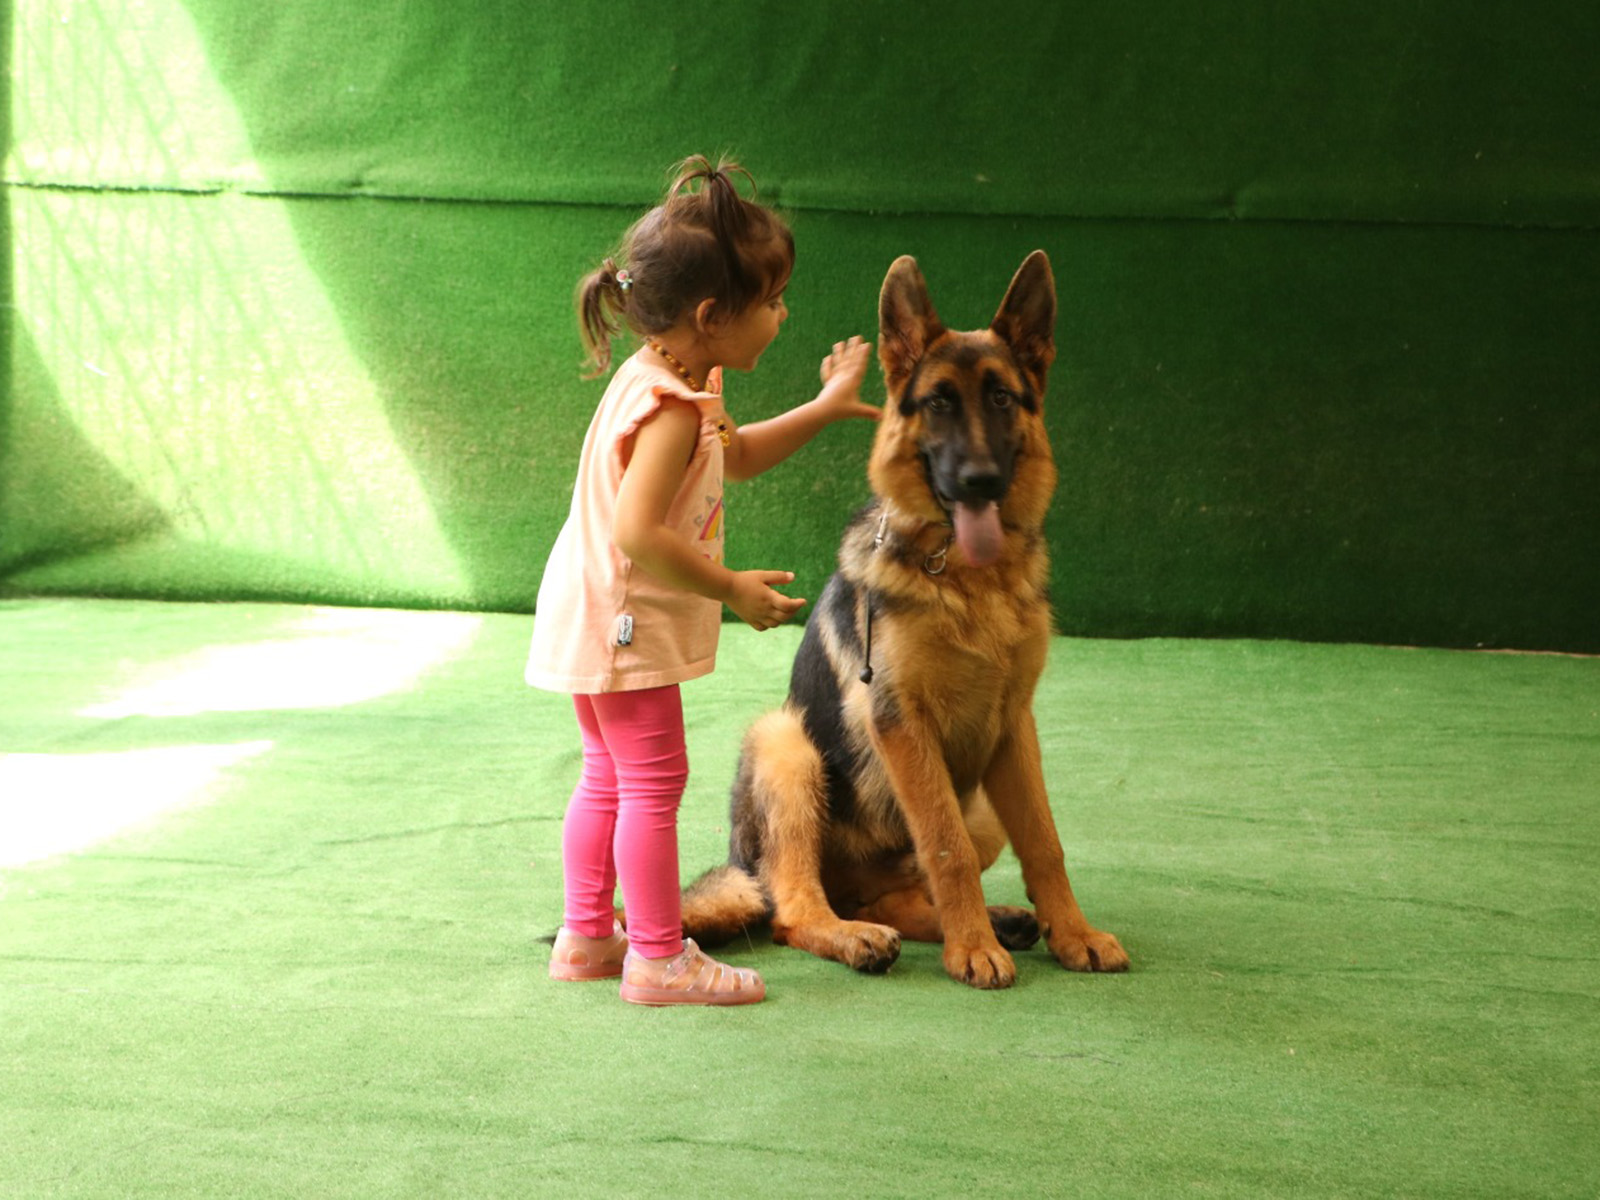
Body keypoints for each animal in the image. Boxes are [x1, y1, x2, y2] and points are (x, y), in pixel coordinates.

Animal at [684, 251, 1126, 985]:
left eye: (1002, 398)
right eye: (939, 401)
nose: (979, 480)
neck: (971, 582)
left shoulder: (1014, 727)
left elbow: (1045, 842)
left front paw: (1072, 933)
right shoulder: (902, 725)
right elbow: (946, 848)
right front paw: (973, 949)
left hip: (980, 806)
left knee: (895, 895)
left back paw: (989, 923)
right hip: (788, 747)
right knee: (791, 910)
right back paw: (860, 936)